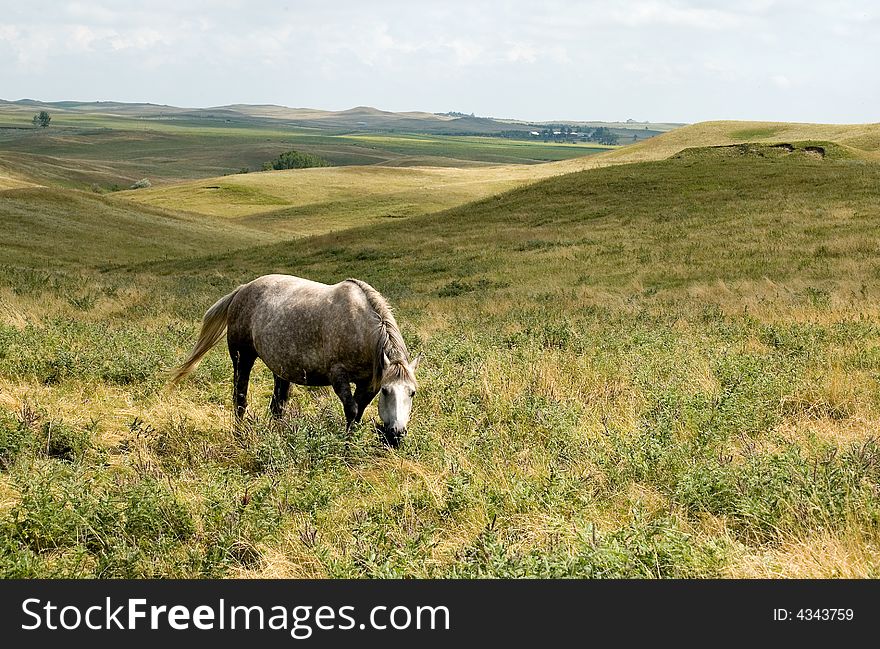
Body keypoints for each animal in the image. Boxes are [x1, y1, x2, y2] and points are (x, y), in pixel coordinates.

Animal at [172, 274, 422, 446]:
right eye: (387, 391)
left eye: (412, 392)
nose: (397, 435)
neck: (361, 328)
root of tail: (242, 290)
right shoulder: (338, 376)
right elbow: (351, 410)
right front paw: (346, 447)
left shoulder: (368, 383)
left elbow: (358, 413)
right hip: (242, 358)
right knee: (239, 398)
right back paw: (240, 436)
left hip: (281, 369)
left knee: (277, 406)